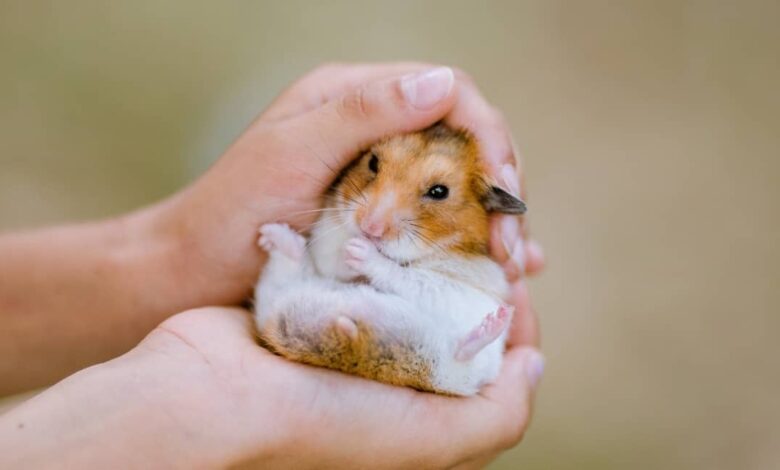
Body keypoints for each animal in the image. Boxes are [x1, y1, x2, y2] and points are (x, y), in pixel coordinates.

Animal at [253, 123, 526, 396]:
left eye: (439, 191)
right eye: (372, 162)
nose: (368, 228)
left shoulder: (455, 285)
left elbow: (404, 275)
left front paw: (358, 250)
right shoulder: (326, 242)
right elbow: (334, 259)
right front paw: (350, 248)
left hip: (463, 367)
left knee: (463, 355)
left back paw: (496, 322)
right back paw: (273, 236)